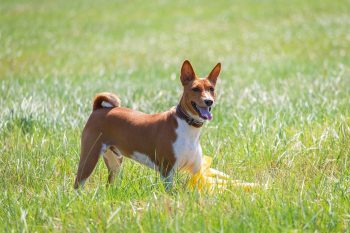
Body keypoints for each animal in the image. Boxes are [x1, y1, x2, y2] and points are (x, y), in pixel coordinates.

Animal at [74, 60, 221, 189]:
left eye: (211, 89)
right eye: (195, 89)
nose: (209, 101)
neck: (188, 126)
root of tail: (98, 109)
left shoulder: (196, 171)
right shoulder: (167, 171)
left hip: (115, 162)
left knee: (109, 184)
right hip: (89, 157)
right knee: (78, 184)